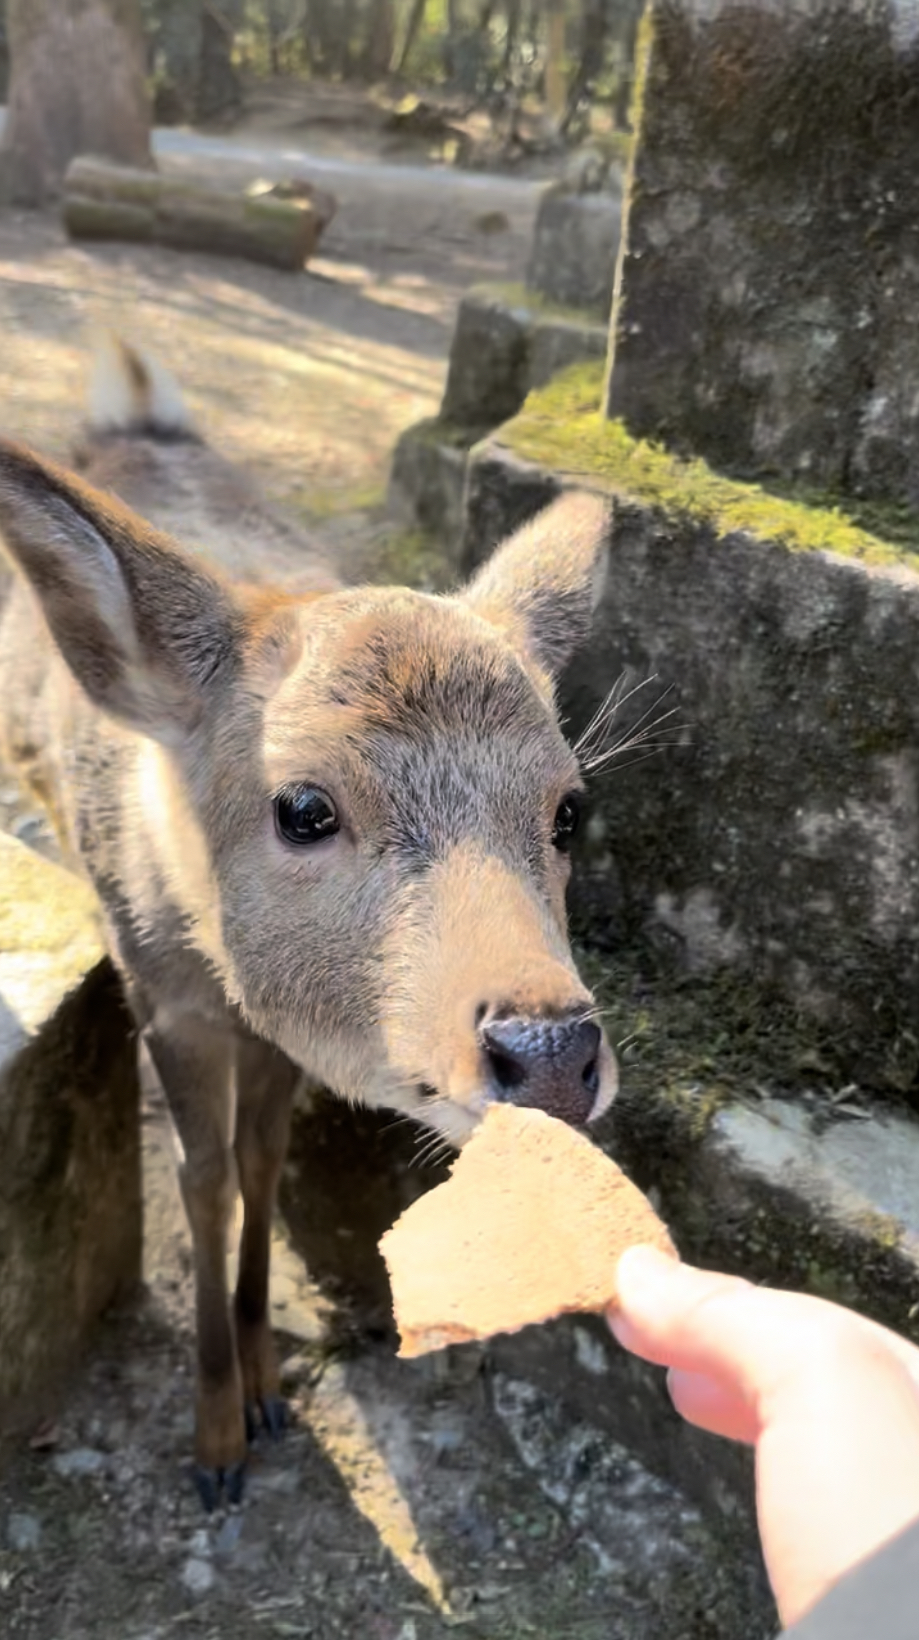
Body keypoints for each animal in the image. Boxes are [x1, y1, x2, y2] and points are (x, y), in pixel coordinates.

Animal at [0, 336, 620, 1508]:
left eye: (570, 807)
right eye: (302, 807)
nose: (552, 1052)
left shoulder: (277, 1034)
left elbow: (261, 1157)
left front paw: (266, 1387)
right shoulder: (168, 1005)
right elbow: (200, 1181)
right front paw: (214, 1447)